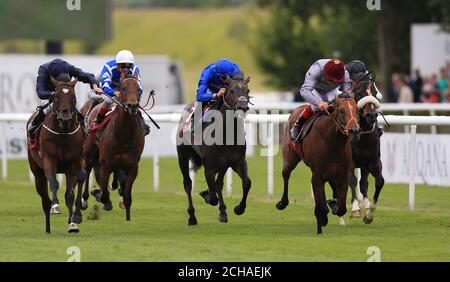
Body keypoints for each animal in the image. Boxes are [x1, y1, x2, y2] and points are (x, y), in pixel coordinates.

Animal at [27, 77, 86, 234]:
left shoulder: (73, 164)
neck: (63, 133)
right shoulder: (49, 160)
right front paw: (56, 206)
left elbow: (70, 194)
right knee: (44, 200)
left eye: (73, 97)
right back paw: (48, 228)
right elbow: (54, 183)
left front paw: (73, 223)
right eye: (56, 97)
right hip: (37, 173)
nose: (65, 117)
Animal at [81, 72, 143, 220]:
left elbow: (127, 196)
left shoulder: (132, 166)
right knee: (87, 172)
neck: (124, 135)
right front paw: (98, 194)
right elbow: (103, 194)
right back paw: (84, 200)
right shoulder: (106, 165)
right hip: (89, 153)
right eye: (124, 88)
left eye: (138, 89)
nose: (133, 106)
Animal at [278, 94, 358, 234]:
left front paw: (333, 205)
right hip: (290, 158)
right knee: (286, 174)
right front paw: (323, 218)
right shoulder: (316, 176)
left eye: (357, 110)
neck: (332, 142)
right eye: (341, 111)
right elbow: (322, 206)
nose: (354, 130)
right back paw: (283, 202)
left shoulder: (342, 175)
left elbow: (341, 207)